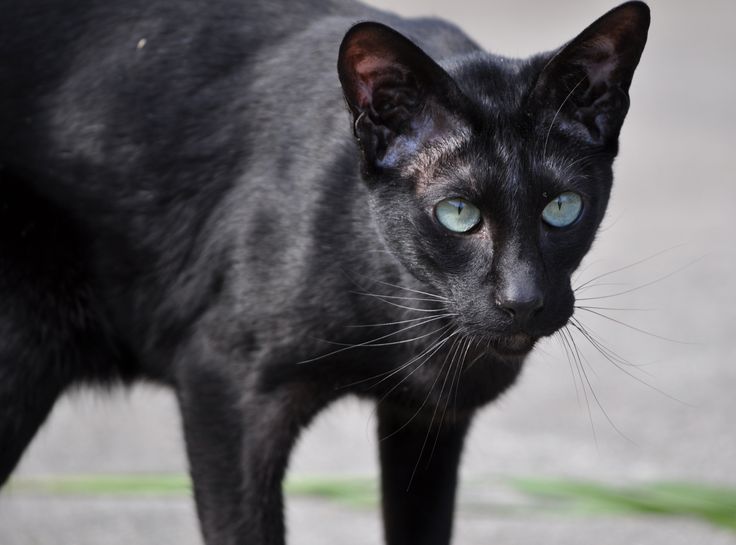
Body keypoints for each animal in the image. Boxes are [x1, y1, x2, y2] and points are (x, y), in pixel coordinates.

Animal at [0, 1, 648, 544]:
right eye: (458, 214)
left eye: (562, 208)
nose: (523, 300)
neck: (412, 323)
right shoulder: (225, 390)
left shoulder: (429, 422)